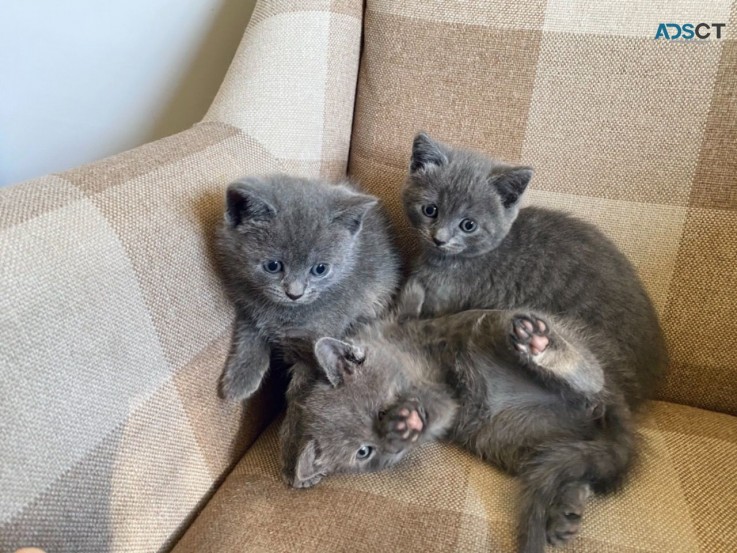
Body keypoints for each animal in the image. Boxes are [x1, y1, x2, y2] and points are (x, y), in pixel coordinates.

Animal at [216, 175, 400, 404]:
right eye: (273, 266)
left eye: (320, 269)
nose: (294, 294)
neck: (285, 312)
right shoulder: (248, 306)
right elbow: (249, 335)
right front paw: (239, 380)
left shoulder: (317, 342)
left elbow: (300, 390)